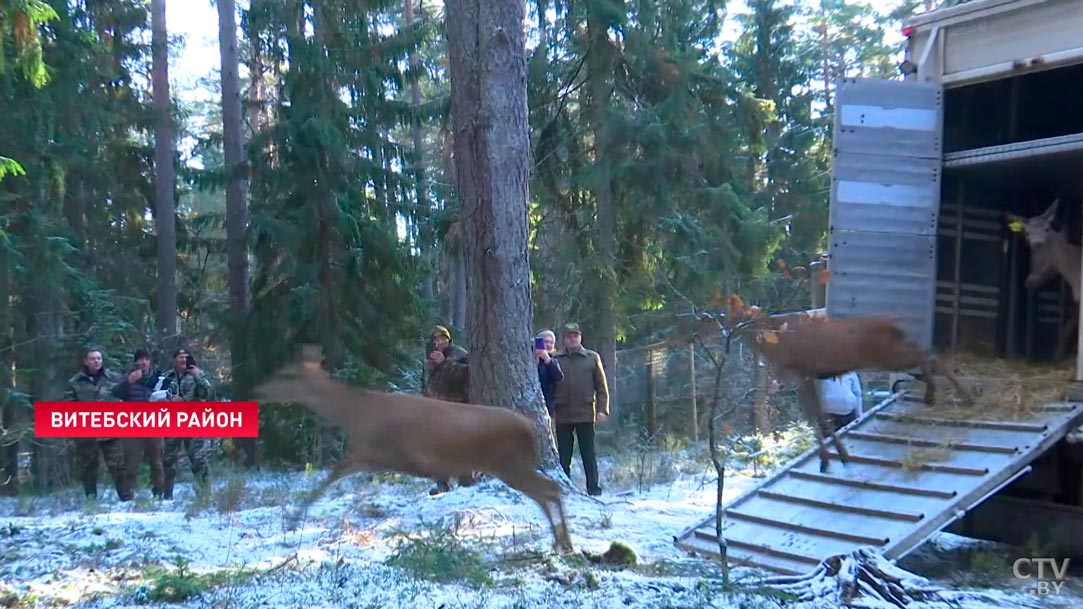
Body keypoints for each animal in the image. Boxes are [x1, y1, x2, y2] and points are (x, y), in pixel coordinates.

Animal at [251, 344, 576, 552]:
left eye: (286, 374)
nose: (258, 390)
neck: (356, 413)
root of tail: (531, 428)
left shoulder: (372, 452)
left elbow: (328, 480)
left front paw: (294, 521)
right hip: (512, 466)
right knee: (546, 492)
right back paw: (559, 542)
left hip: (511, 464)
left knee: (550, 489)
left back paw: (564, 542)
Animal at [727, 296, 974, 472]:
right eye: (731, 315)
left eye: (744, 315)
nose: (730, 329)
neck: (775, 345)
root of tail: (893, 324)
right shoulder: (809, 377)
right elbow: (817, 416)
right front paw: (834, 457)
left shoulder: (801, 373)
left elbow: (816, 417)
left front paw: (833, 458)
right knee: (927, 355)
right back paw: (935, 394)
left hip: (888, 354)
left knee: (930, 355)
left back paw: (959, 395)